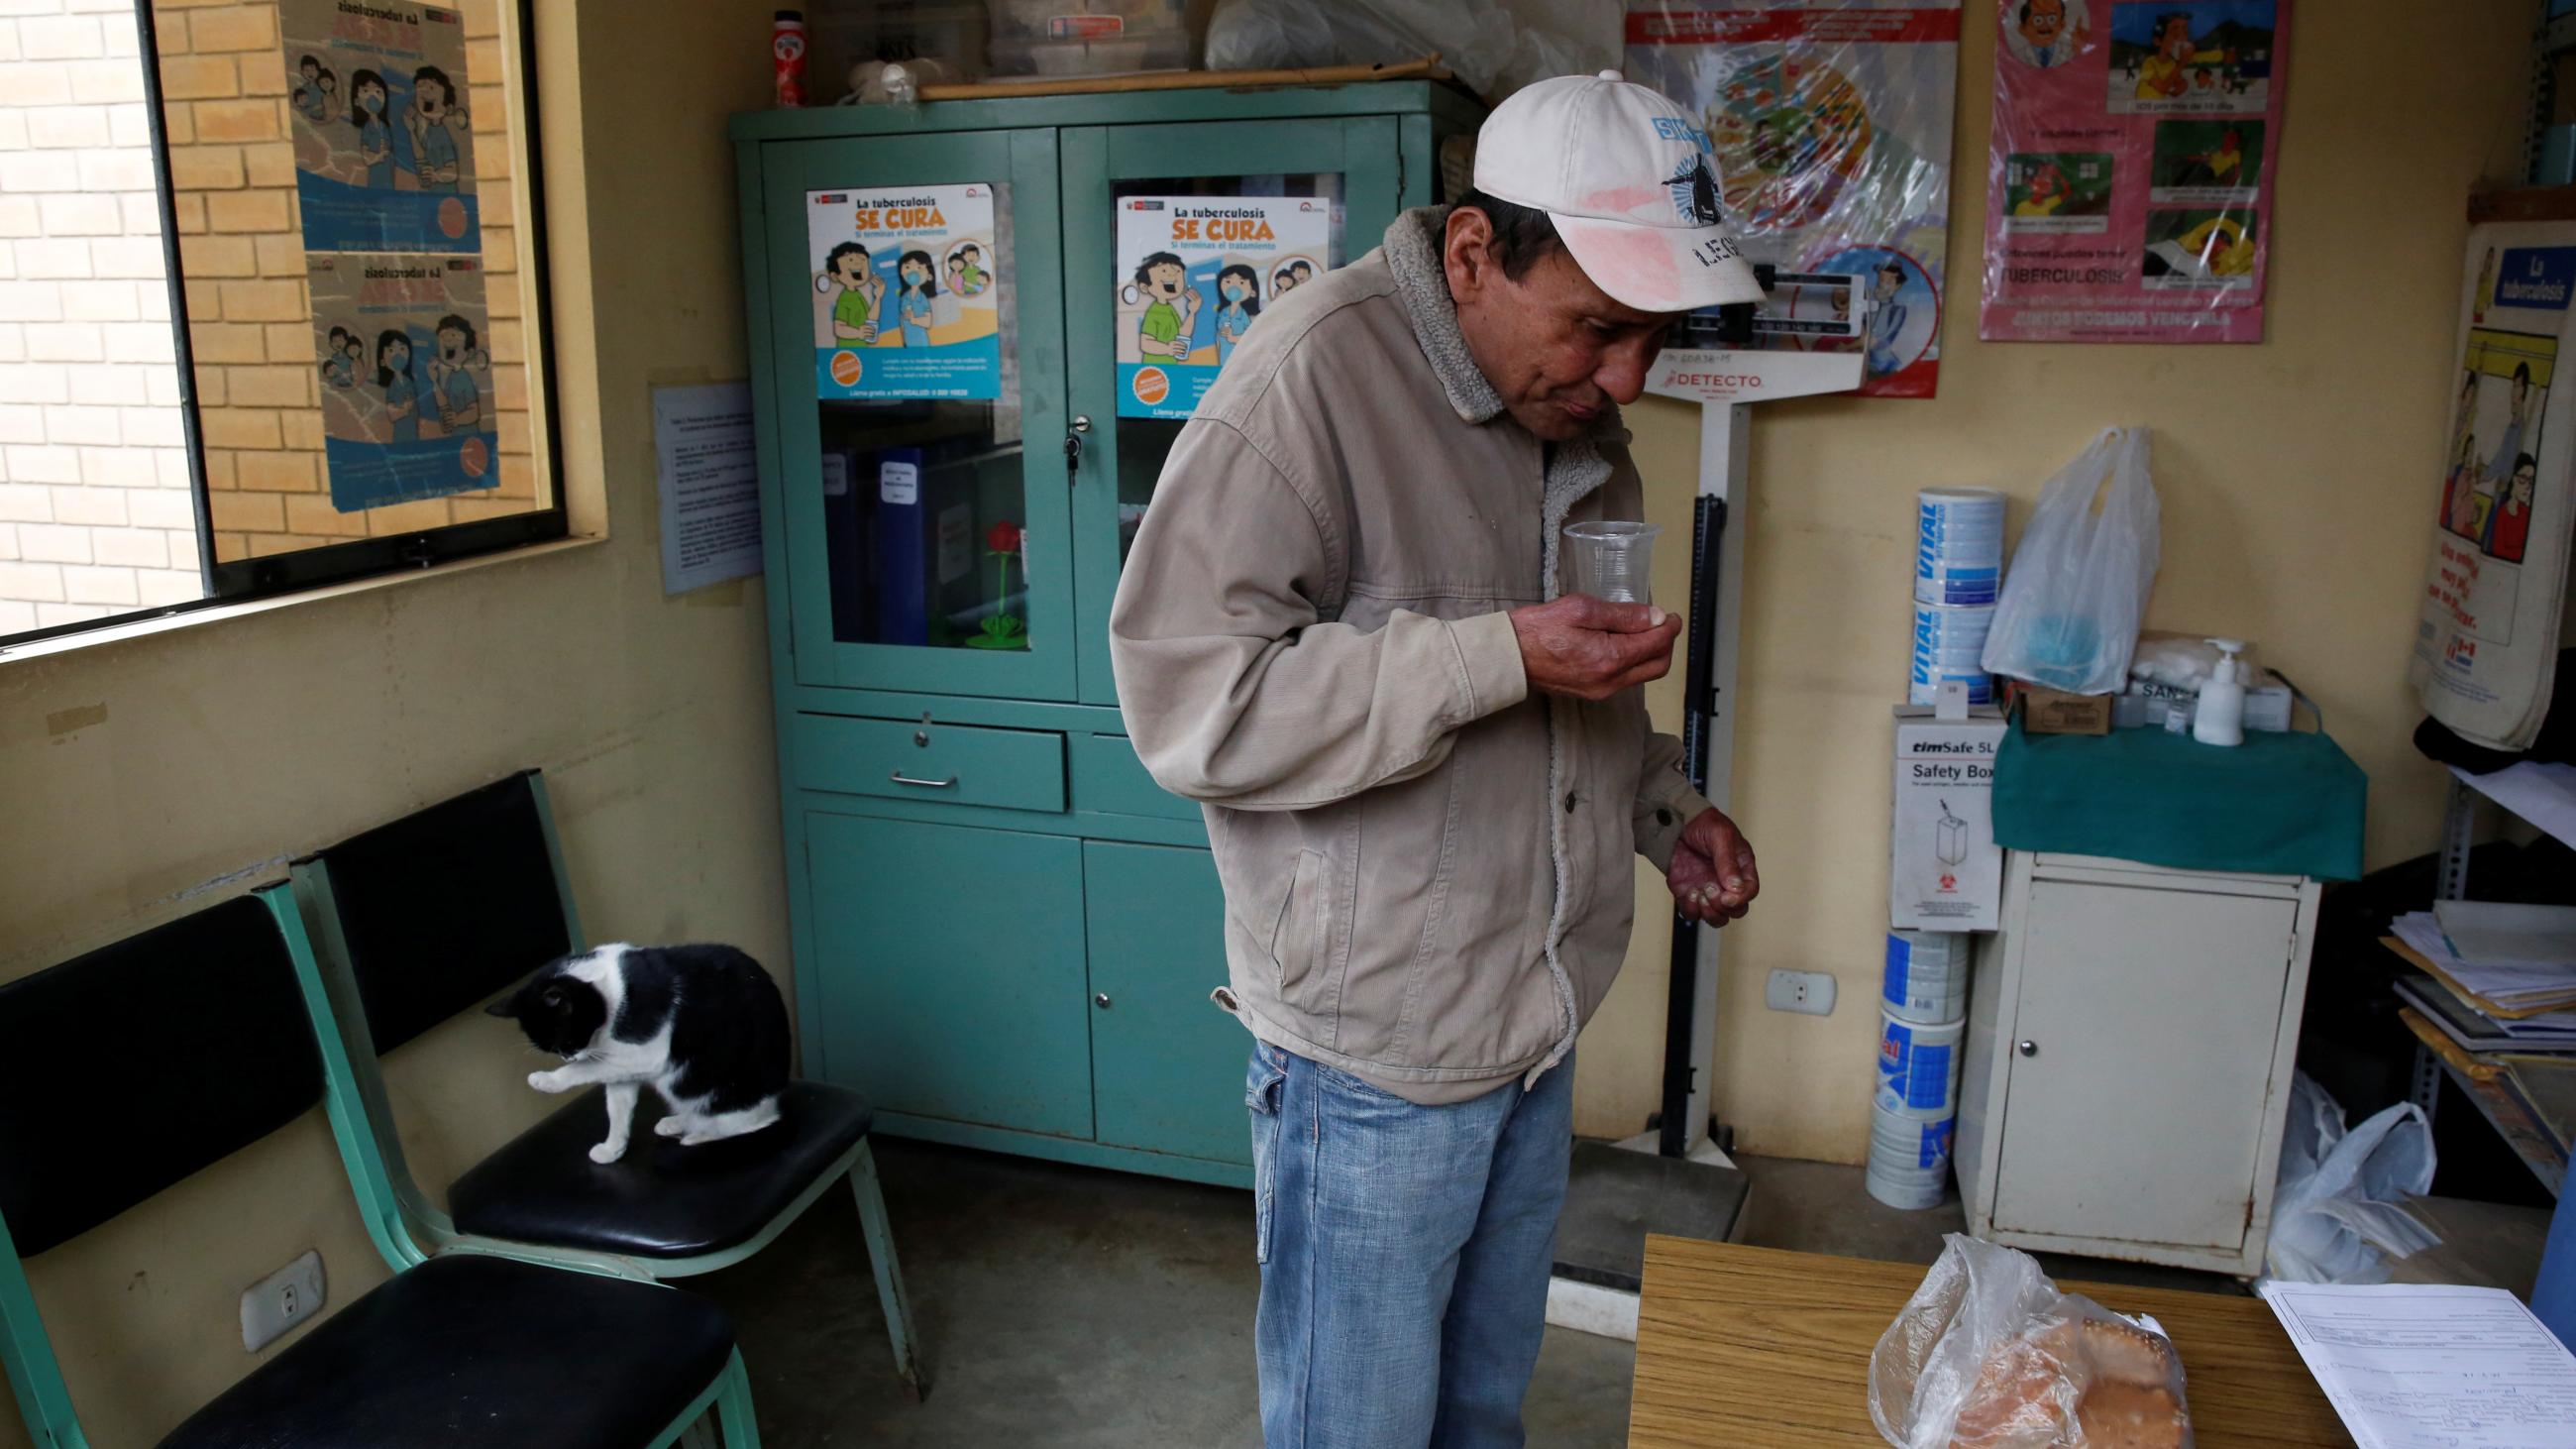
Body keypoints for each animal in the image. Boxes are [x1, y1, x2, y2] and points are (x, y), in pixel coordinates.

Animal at [486, 938, 788, 1160]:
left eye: (568, 1042)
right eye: (556, 1050)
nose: (568, 1056)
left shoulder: (644, 1055)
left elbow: (584, 1069)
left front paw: (547, 1081)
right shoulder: (621, 1069)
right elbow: (617, 1108)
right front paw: (612, 1149)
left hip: (722, 1095)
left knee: (746, 1125)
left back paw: (696, 1136)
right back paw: (678, 1122)